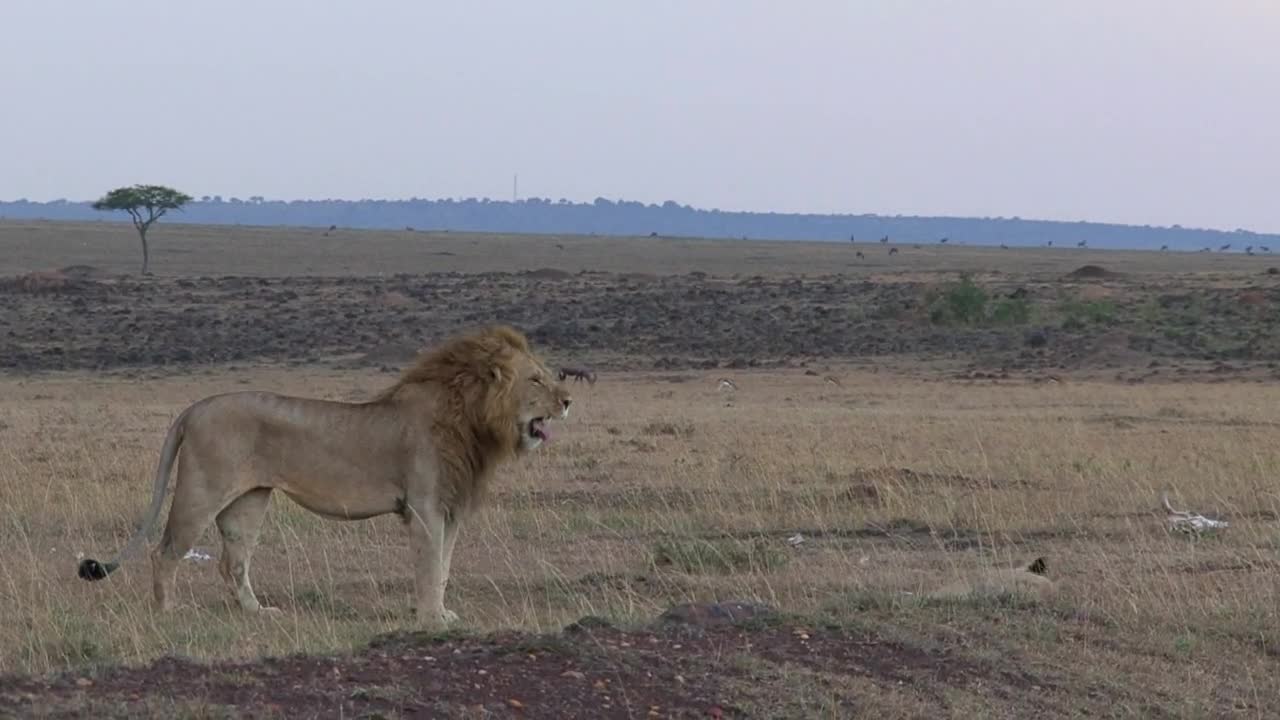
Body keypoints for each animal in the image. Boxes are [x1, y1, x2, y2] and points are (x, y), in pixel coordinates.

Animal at [77, 325, 572, 627]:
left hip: (249, 500)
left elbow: (446, 567)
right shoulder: (425, 507)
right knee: (164, 552)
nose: (568, 401)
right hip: (201, 491)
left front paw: (443, 615)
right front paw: (432, 621)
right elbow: (431, 567)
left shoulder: (449, 510)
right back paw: (168, 610)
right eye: (535, 380)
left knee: (232, 561)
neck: (472, 421)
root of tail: (193, 408)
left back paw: (258, 611)